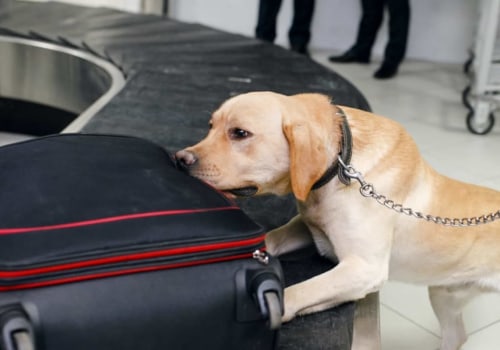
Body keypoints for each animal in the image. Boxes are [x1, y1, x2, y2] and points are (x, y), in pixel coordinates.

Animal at [176, 91, 500, 350]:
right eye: (210, 126)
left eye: (240, 133)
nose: (180, 159)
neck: (342, 164)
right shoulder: (307, 228)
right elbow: (271, 239)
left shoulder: (364, 269)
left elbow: (298, 291)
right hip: (444, 295)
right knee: (457, 335)